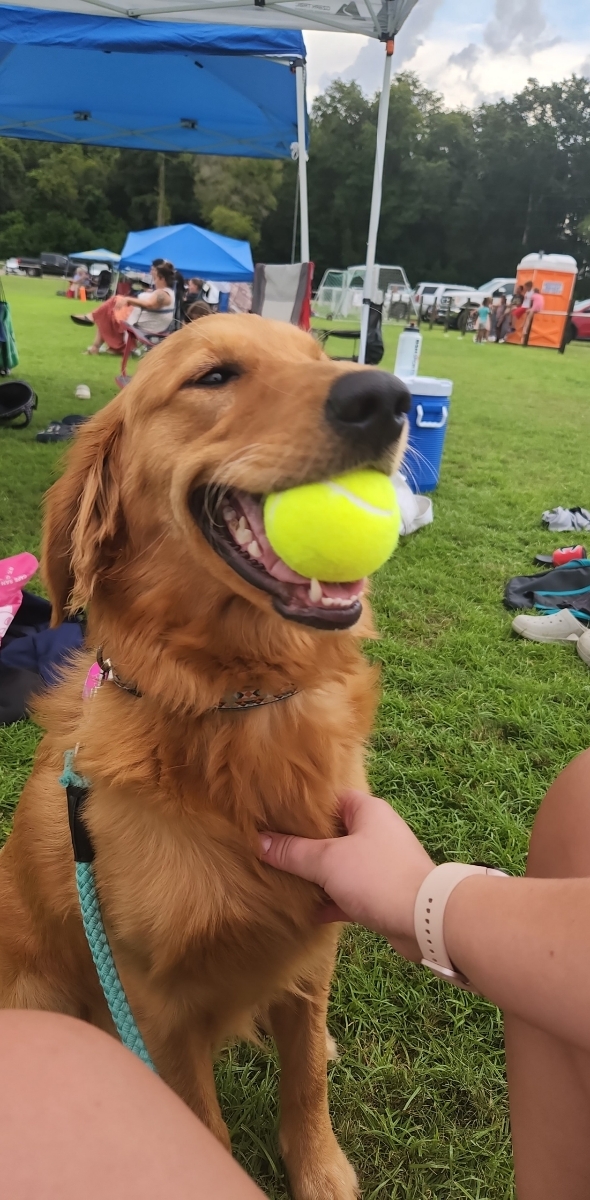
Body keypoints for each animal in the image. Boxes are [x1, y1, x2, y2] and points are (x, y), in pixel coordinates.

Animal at [0, 314, 407, 1195]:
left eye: (322, 357)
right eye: (214, 376)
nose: (389, 397)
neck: (237, 702)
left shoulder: (314, 937)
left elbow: (305, 1075)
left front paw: (320, 1168)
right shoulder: (155, 1002)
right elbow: (204, 1125)